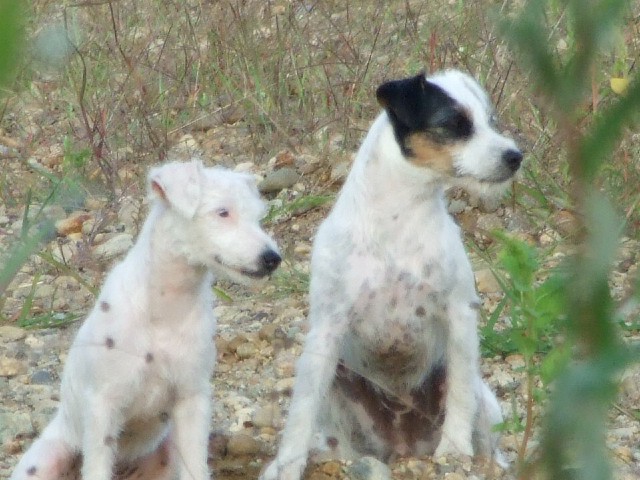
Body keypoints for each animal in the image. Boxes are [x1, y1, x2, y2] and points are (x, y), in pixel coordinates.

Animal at [11, 160, 282, 480]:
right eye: (222, 212)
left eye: (258, 216)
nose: (273, 258)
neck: (164, 309)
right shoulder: (103, 405)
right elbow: (97, 465)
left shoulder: (191, 399)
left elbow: (195, 465)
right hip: (47, 459)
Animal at [262, 70, 524, 480]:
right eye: (454, 124)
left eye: (490, 121)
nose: (515, 157)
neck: (398, 220)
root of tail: (404, 448)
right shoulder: (326, 329)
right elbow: (300, 413)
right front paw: (287, 465)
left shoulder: (459, 316)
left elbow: (460, 397)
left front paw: (454, 450)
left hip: (479, 397)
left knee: (485, 434)